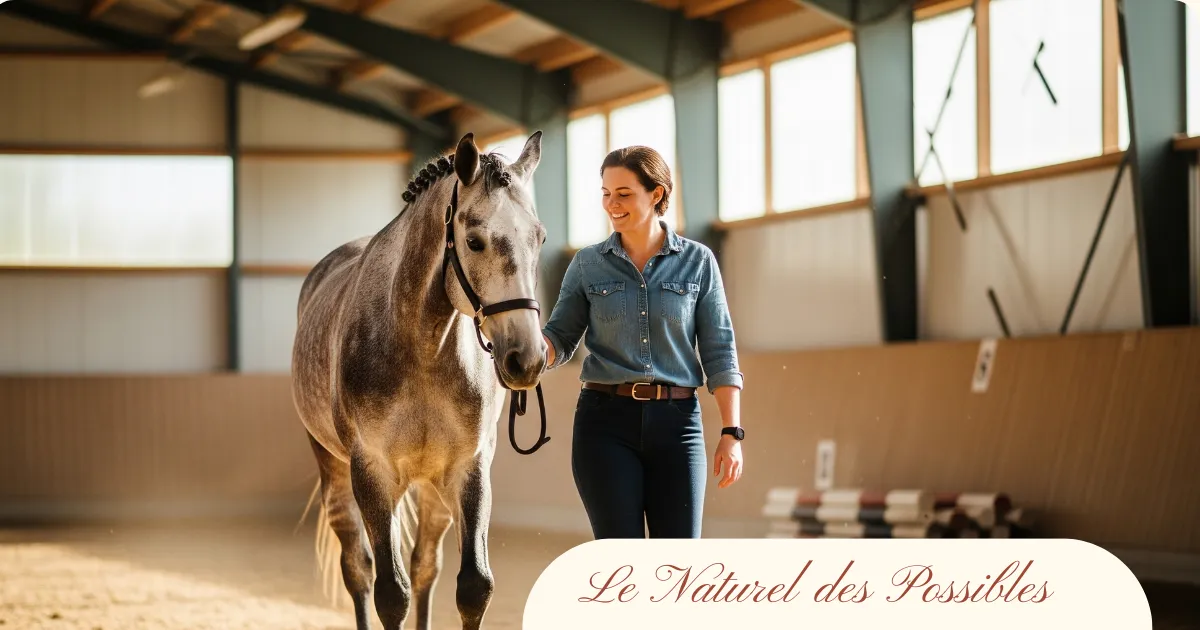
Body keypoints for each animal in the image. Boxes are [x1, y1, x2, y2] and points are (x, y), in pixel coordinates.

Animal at [291, 131, 551, 630]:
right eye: (474, 241)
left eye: (540, 237)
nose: (526, 358)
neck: (423, 348)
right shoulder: (371, 472)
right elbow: (391, 594)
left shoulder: (469, 469)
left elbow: (473, 586)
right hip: (333, 470)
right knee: (358, 569)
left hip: (432, 488)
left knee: (425, 566)